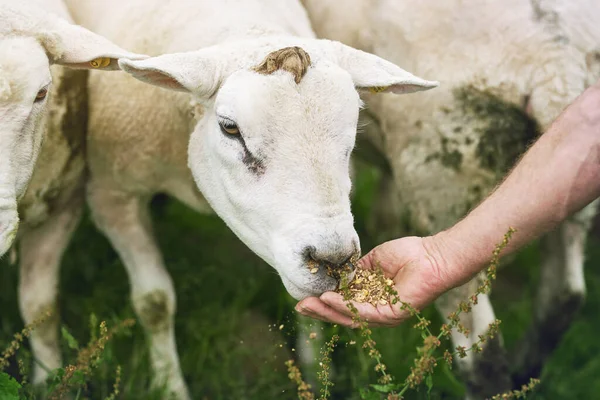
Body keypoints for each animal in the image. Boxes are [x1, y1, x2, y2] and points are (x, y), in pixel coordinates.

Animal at [56, 0, 438, 396]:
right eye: (229, 128)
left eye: (353, 132)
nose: (333, 261)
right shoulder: (112, 195)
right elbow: (154, 302)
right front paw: (170, 387)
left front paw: (313, 373)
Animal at [304, 0, 600, 396]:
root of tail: (557, 65)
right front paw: (385, 222)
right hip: (564, 189)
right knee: (564, 297)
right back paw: (525, 375)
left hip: (443, 179)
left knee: (482, 351)